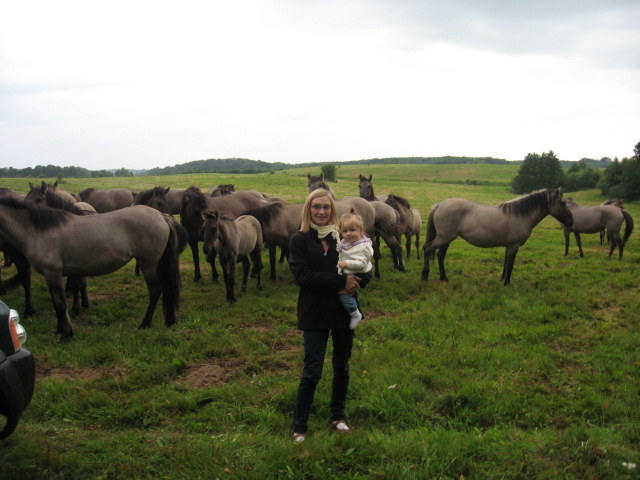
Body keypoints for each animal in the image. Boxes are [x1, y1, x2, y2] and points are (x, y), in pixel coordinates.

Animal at [422, 188, 572, 284]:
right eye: (563, 203)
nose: (571, 221)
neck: (520, 215)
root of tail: (439, 205)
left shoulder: (509, 245)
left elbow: (506, 262)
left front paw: (501, 279)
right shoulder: (514, 245)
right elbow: (510, 264)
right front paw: (507, 283)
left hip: (446, 239)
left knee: (440, 255)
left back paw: (444, 278)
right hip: (444, 238)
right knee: (427, 248)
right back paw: (424, 276)